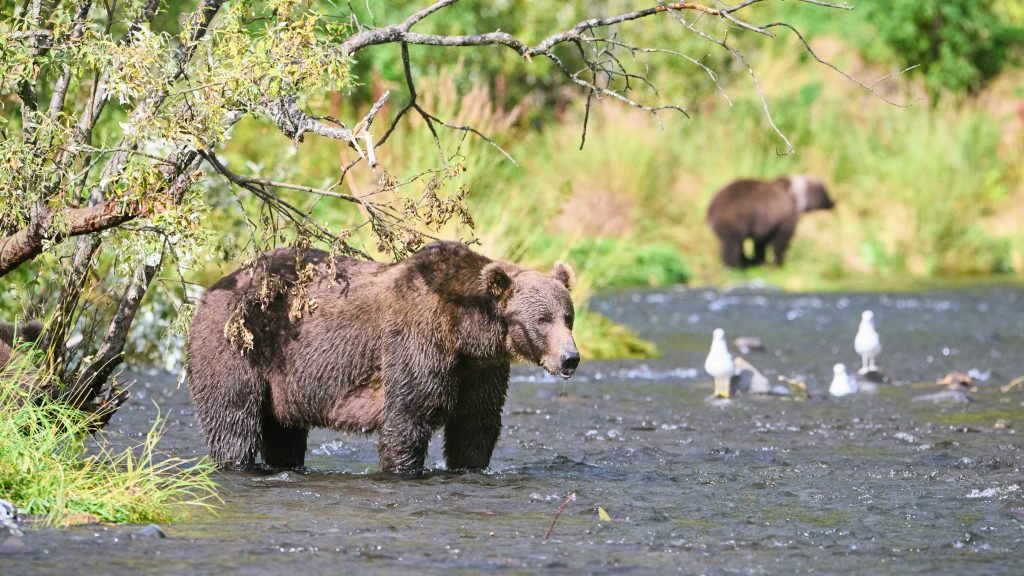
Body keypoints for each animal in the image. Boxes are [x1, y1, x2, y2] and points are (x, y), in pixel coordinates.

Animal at [186, 241, 580, 476]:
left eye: (568, 316)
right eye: (541, 319)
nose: (570, 358)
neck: (467, 333)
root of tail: (210, 289)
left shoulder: (480, 370)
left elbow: (475, 425)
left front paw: (469, 467)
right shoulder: (415, 344)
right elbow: (408, 416)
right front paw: (402, 468)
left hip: (281, 383)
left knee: (282, 431)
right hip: (239, 347)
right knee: (234, 419)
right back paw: (236, 463)